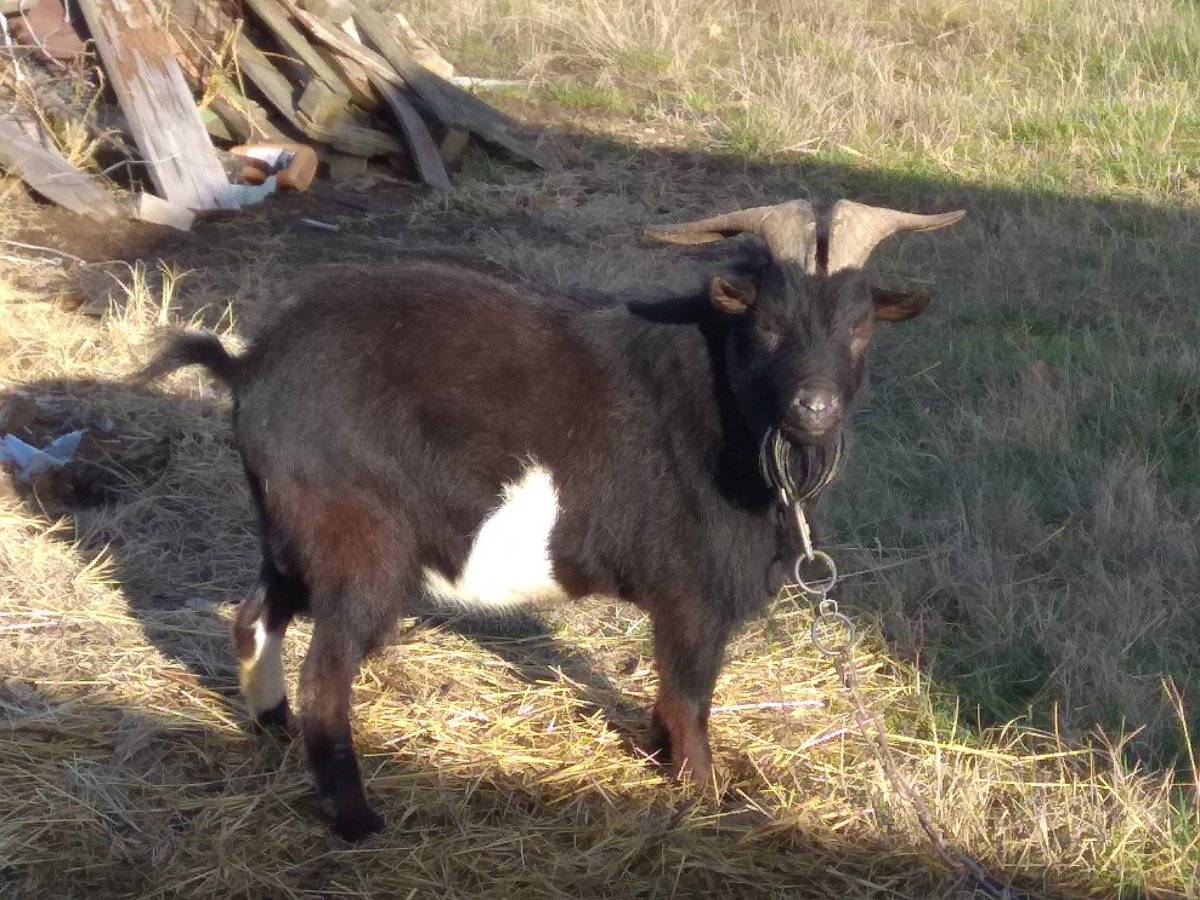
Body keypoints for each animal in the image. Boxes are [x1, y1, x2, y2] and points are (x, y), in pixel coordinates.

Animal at [140, 198, 963, 840]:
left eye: (860, 326)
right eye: (764, 323)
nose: (813, 407)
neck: (726, 412)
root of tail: (248, 367)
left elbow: (669, 699)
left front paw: (658, 759)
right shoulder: (692, 596)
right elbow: (690, 699)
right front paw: (703, 799)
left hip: (290, 530)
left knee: (255, 616)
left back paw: (272, 730)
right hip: (359, 545)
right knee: (326, 673)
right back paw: (355, 817)